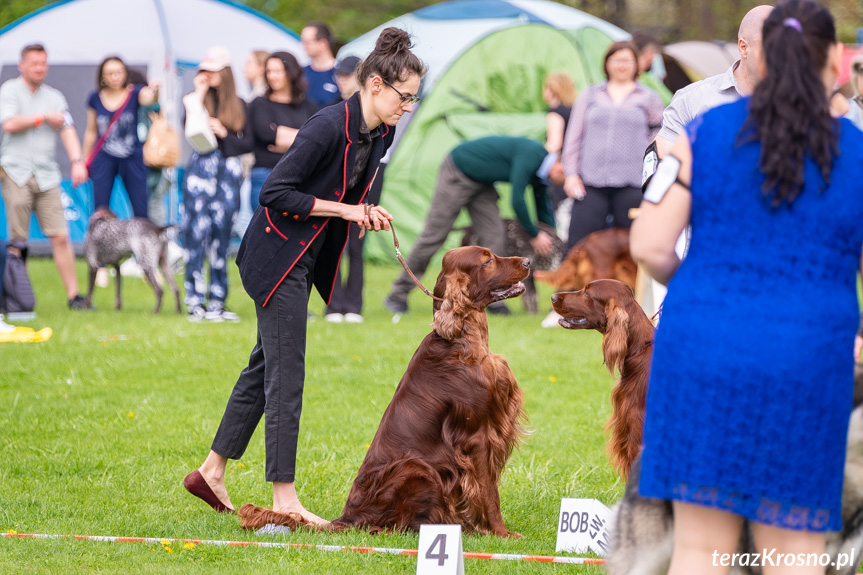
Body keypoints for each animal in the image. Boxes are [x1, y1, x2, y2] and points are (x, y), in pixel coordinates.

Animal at [240, 248, 528, 540]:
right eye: (487, 260)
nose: (528, 261)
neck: (460, 339)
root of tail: (347, 518)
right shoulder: (478, 435)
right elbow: (489, 492)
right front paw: (501, 532)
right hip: (417, 468)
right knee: (392, 526)